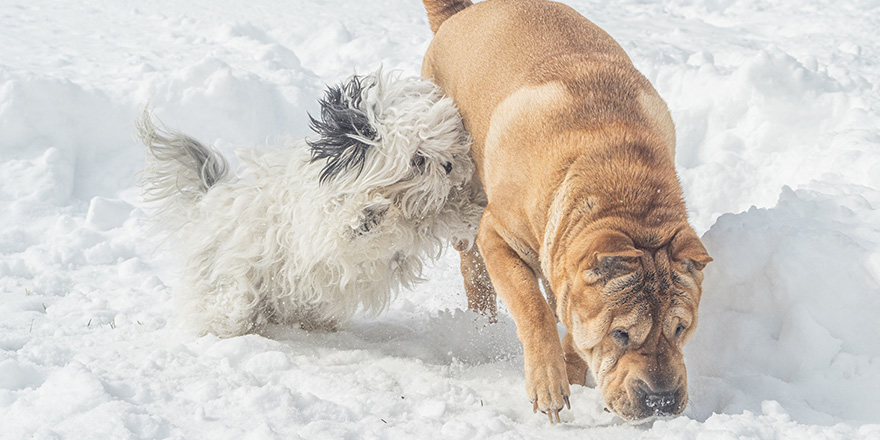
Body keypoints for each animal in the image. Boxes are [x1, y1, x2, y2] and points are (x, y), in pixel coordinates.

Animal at [138, 70, 482, 336]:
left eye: (450, 144)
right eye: (417, 159)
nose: (449, 166)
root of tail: (206, 202)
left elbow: (437, 216)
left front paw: (470, 210)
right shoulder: (318, 237)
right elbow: (344, 232)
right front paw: (363, 218)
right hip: (227, 275)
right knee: (228, 306)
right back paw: (229, 317)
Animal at [422, 0, 716, 422]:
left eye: (680, 329)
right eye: (620, 334)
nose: (660, 401)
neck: (625, 200)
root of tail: (458, 14)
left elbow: (573, 329)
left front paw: (572, 371)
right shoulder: (498, 233)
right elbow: (534, 310)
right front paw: (549, 384)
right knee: (475, 271)